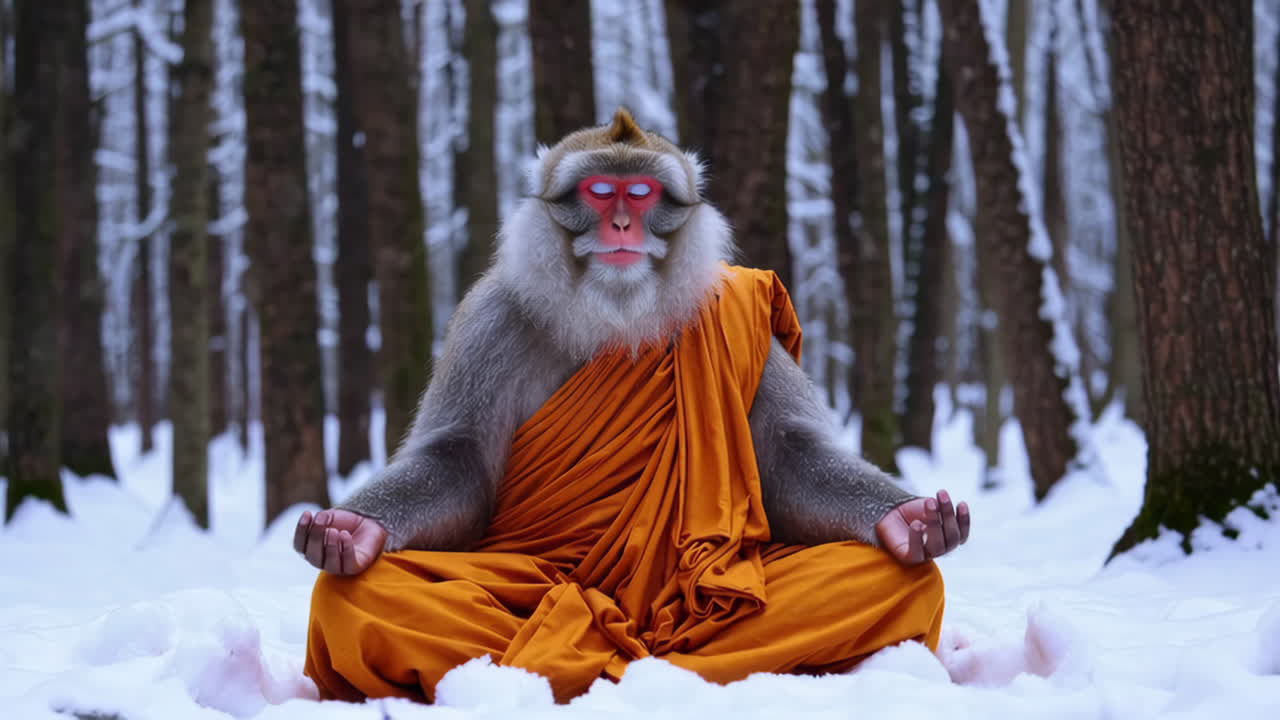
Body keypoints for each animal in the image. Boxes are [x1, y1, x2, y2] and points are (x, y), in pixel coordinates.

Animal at [295, 109, 969, 700]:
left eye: (640, 193)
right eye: (600, 192)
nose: (621, 225)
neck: (614, 316)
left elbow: (791, 457)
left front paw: (908, 521)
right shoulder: (490, 320)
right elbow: (456, 462)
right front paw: (352, 532)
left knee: (895, 580)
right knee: (355, 596)